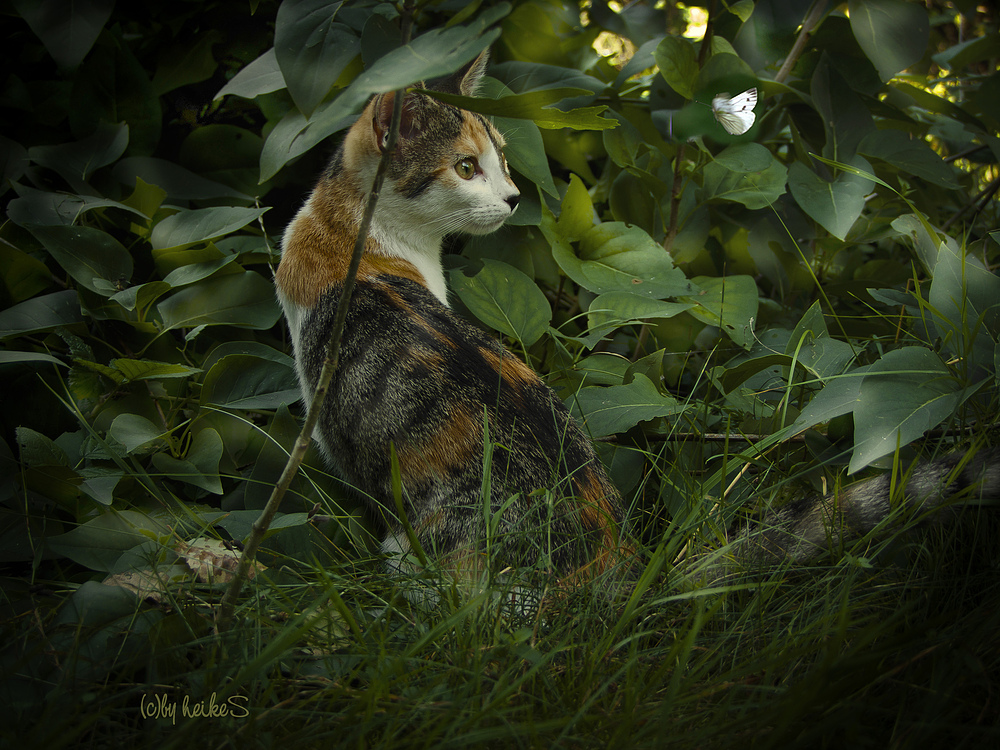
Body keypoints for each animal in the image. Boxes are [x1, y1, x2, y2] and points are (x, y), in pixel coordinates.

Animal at [276, 51, 1000, 592]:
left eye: (503, 158)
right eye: (464, 166)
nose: (514, 196)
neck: (354, 242)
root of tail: (619, 581)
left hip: (426, 553)